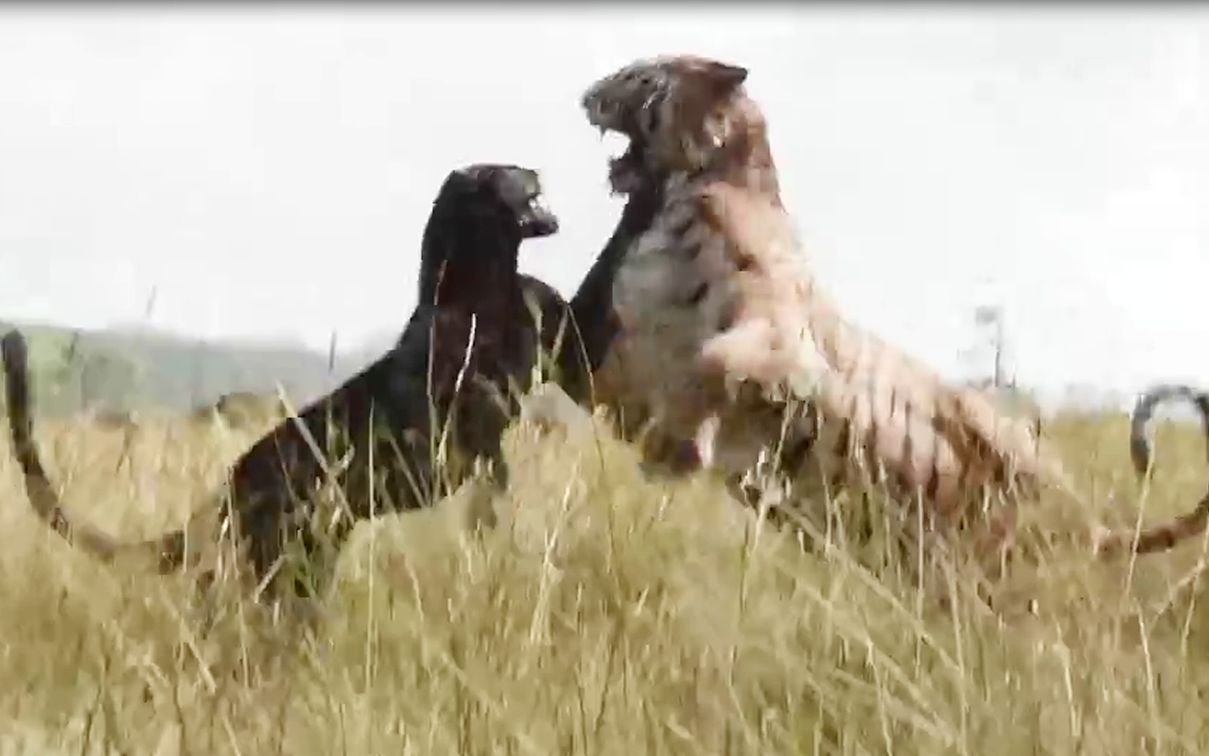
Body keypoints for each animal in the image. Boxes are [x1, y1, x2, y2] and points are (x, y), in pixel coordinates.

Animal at [573, 54, 1209, 590]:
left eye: (642, 75)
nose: (586, 95)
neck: (699, 182)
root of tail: (1090, 524)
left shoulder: (779, 333)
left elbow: (721, 362)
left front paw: (685, 449)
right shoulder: (624, 365)